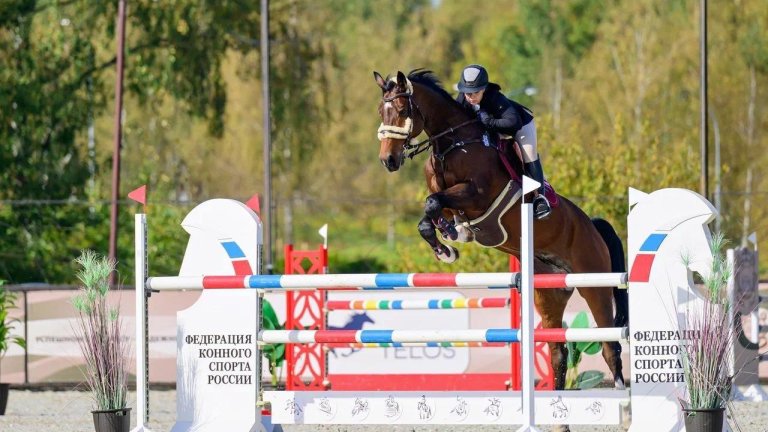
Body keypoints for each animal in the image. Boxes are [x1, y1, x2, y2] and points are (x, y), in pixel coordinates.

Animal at [374, 69, 632, 396]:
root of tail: (593, 225)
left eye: (402, 110)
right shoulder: (449, 200)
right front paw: (446, 246)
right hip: (548, 293)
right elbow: (429, 213)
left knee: (610, 344)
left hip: (594, 283)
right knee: (558, 351)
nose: (388, 161)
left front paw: (451, 239)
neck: (453, 144)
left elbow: (433, 202)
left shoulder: (476, 195)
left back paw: (621, 392)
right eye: (380, 111)